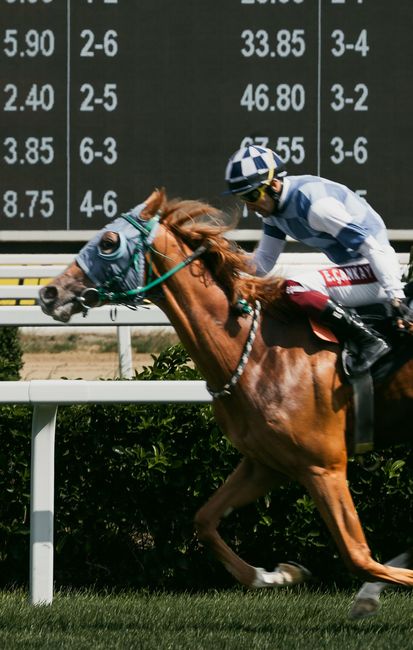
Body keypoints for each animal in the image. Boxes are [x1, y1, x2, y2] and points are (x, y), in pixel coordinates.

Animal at [38, 189, 413, 616]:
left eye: (108, 242)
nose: (49, 293)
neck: (258, 352)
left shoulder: (324, 466)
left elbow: (358, 556)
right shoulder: (264, 463)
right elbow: (204, 521)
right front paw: (278, 574)